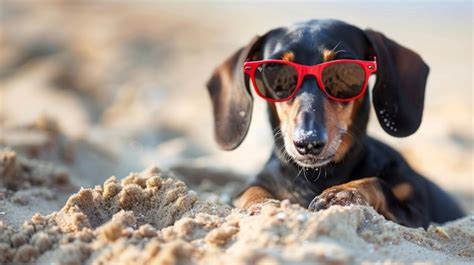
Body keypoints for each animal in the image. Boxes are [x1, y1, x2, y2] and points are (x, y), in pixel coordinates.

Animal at [206, 20, 462, 227]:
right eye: (274, 73)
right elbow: (252, 192)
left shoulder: (416, 212)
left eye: (345, 72)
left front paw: (343, 193)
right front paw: (266, 206)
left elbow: (379, 183)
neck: (321, 175)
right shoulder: (254, 184)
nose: (308, 143)